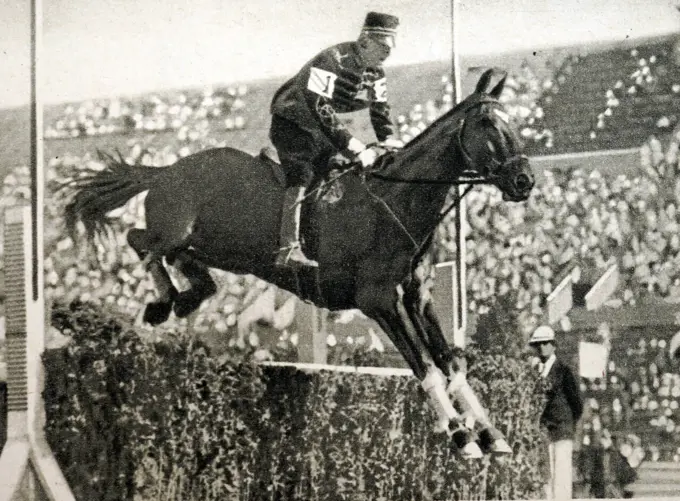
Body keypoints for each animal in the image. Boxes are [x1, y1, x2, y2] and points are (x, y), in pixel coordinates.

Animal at [63, 69, 536, 458]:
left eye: (513, 121)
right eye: (489, 124)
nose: (524, 181)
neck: (395, 202)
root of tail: (163, 171)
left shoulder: (416, 298)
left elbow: (451, 364)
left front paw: (491, 433)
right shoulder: (378, 300)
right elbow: (426, 367)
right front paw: (460, 435)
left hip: (222, 249)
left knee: (181, 259)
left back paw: (189, 295)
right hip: (179, 229)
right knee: (141, 240)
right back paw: (163, 301)